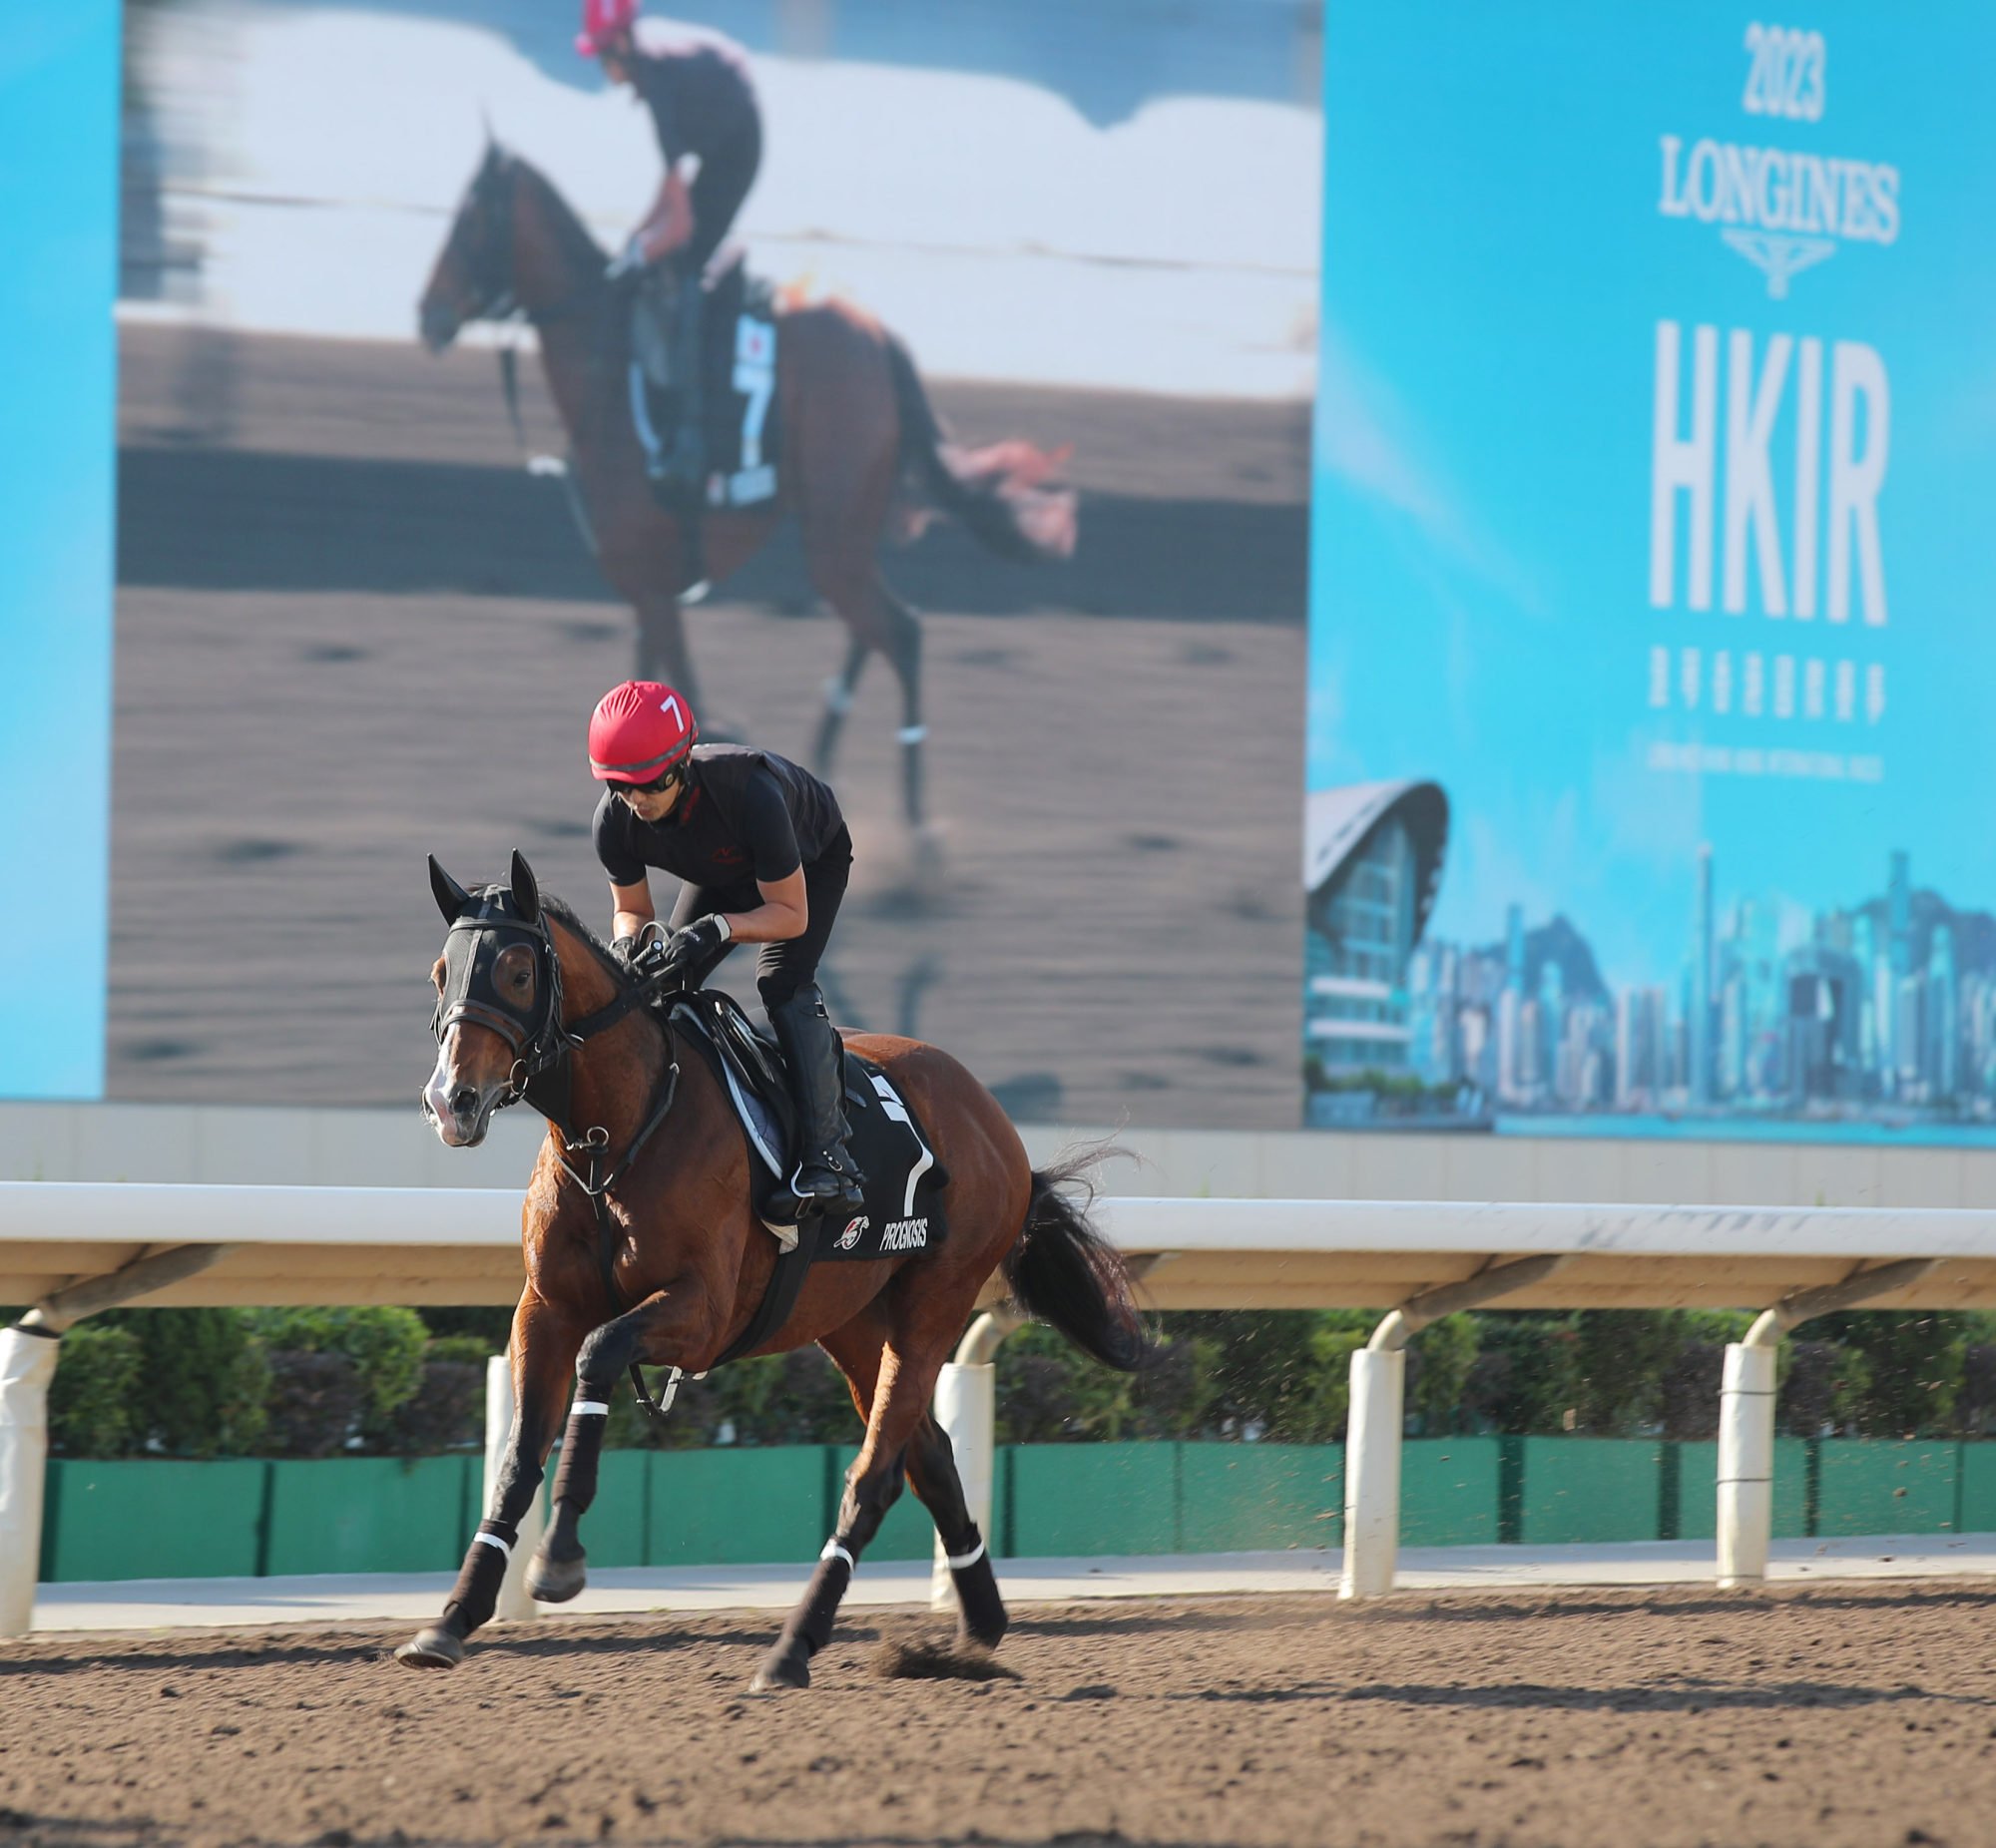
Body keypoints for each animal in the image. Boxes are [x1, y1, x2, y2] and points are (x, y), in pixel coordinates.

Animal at [397, 858, 1150, 1692]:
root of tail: (997, 1124)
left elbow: (599, 1357)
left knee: (875, 1476)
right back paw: (978, 1626)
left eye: (519, 971)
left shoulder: (701, 1315)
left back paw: (793, 1646)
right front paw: (452, 1619)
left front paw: (558, 1561)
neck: (614, 1134)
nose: (452, 1102)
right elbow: (517, 1456)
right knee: (929, 1454)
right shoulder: (545, 1307)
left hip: (937, 1299)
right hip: (853, 1321)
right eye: (440, 974)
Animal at [415, 141, 1086, 834]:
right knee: (871, 630)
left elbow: (681, 693)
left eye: (471, 220)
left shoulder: (650, 581)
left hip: (833, 536)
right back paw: (825, 767)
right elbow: (645, 686)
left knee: (899, 631)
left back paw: (917, 829)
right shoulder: (645, 584)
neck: (609, 376)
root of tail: (880, 340)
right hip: (848, 529)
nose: (427, 313)